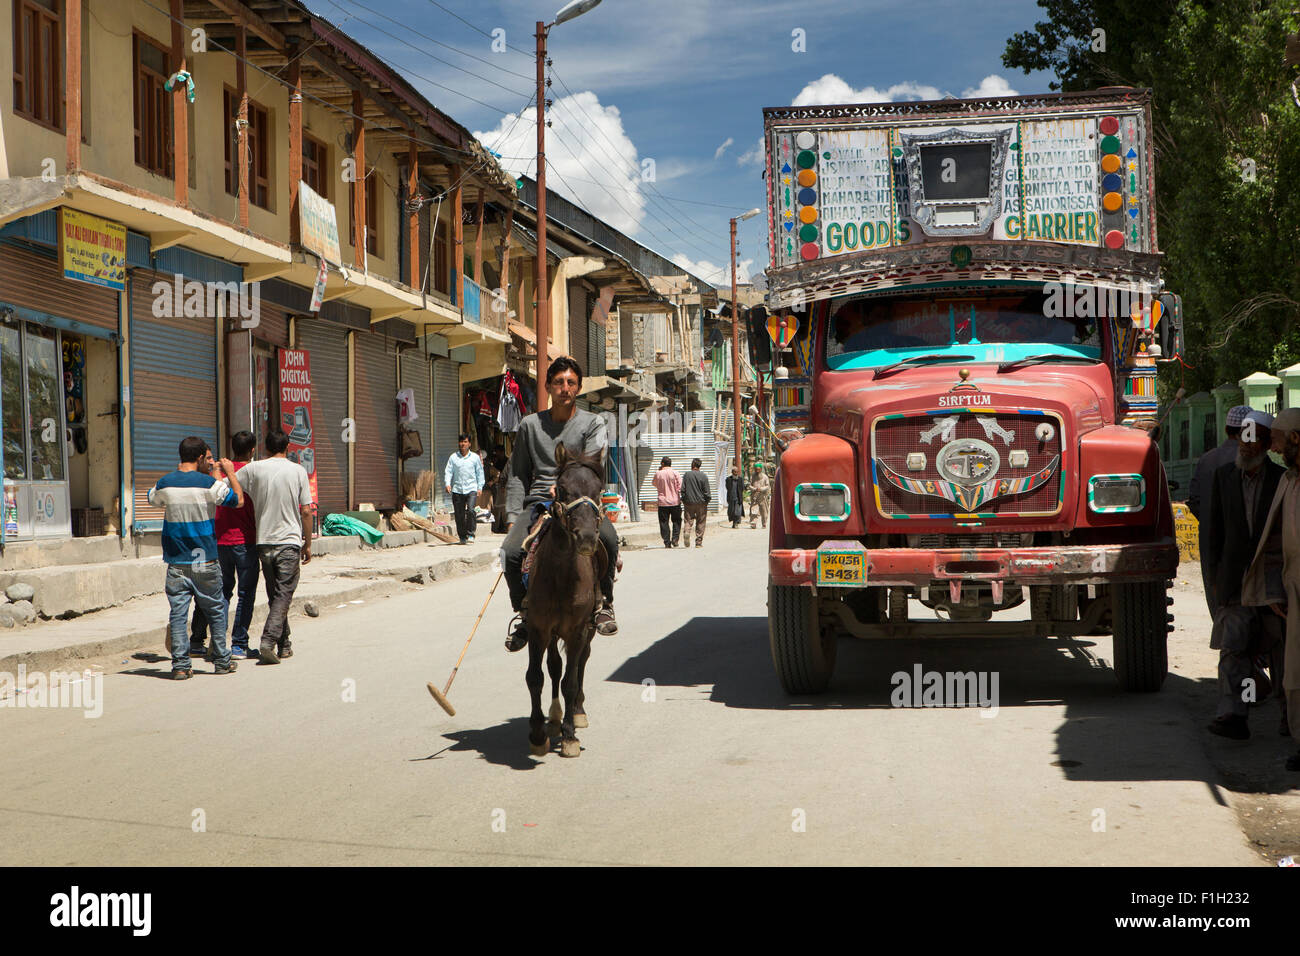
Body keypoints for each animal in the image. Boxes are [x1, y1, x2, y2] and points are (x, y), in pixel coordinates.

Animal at [525, 444, 605, 759]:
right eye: (562, 489)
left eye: (599, 490)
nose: (587, 538)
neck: (561, 575)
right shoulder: (538, 629)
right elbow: (536, 677)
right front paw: (537, 734)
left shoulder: (577, 631)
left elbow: (570, 681)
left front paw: (570, 736)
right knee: (554, 666)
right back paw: (554, 718)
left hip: (588, 630)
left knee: (581, 663)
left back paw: (577, 713)